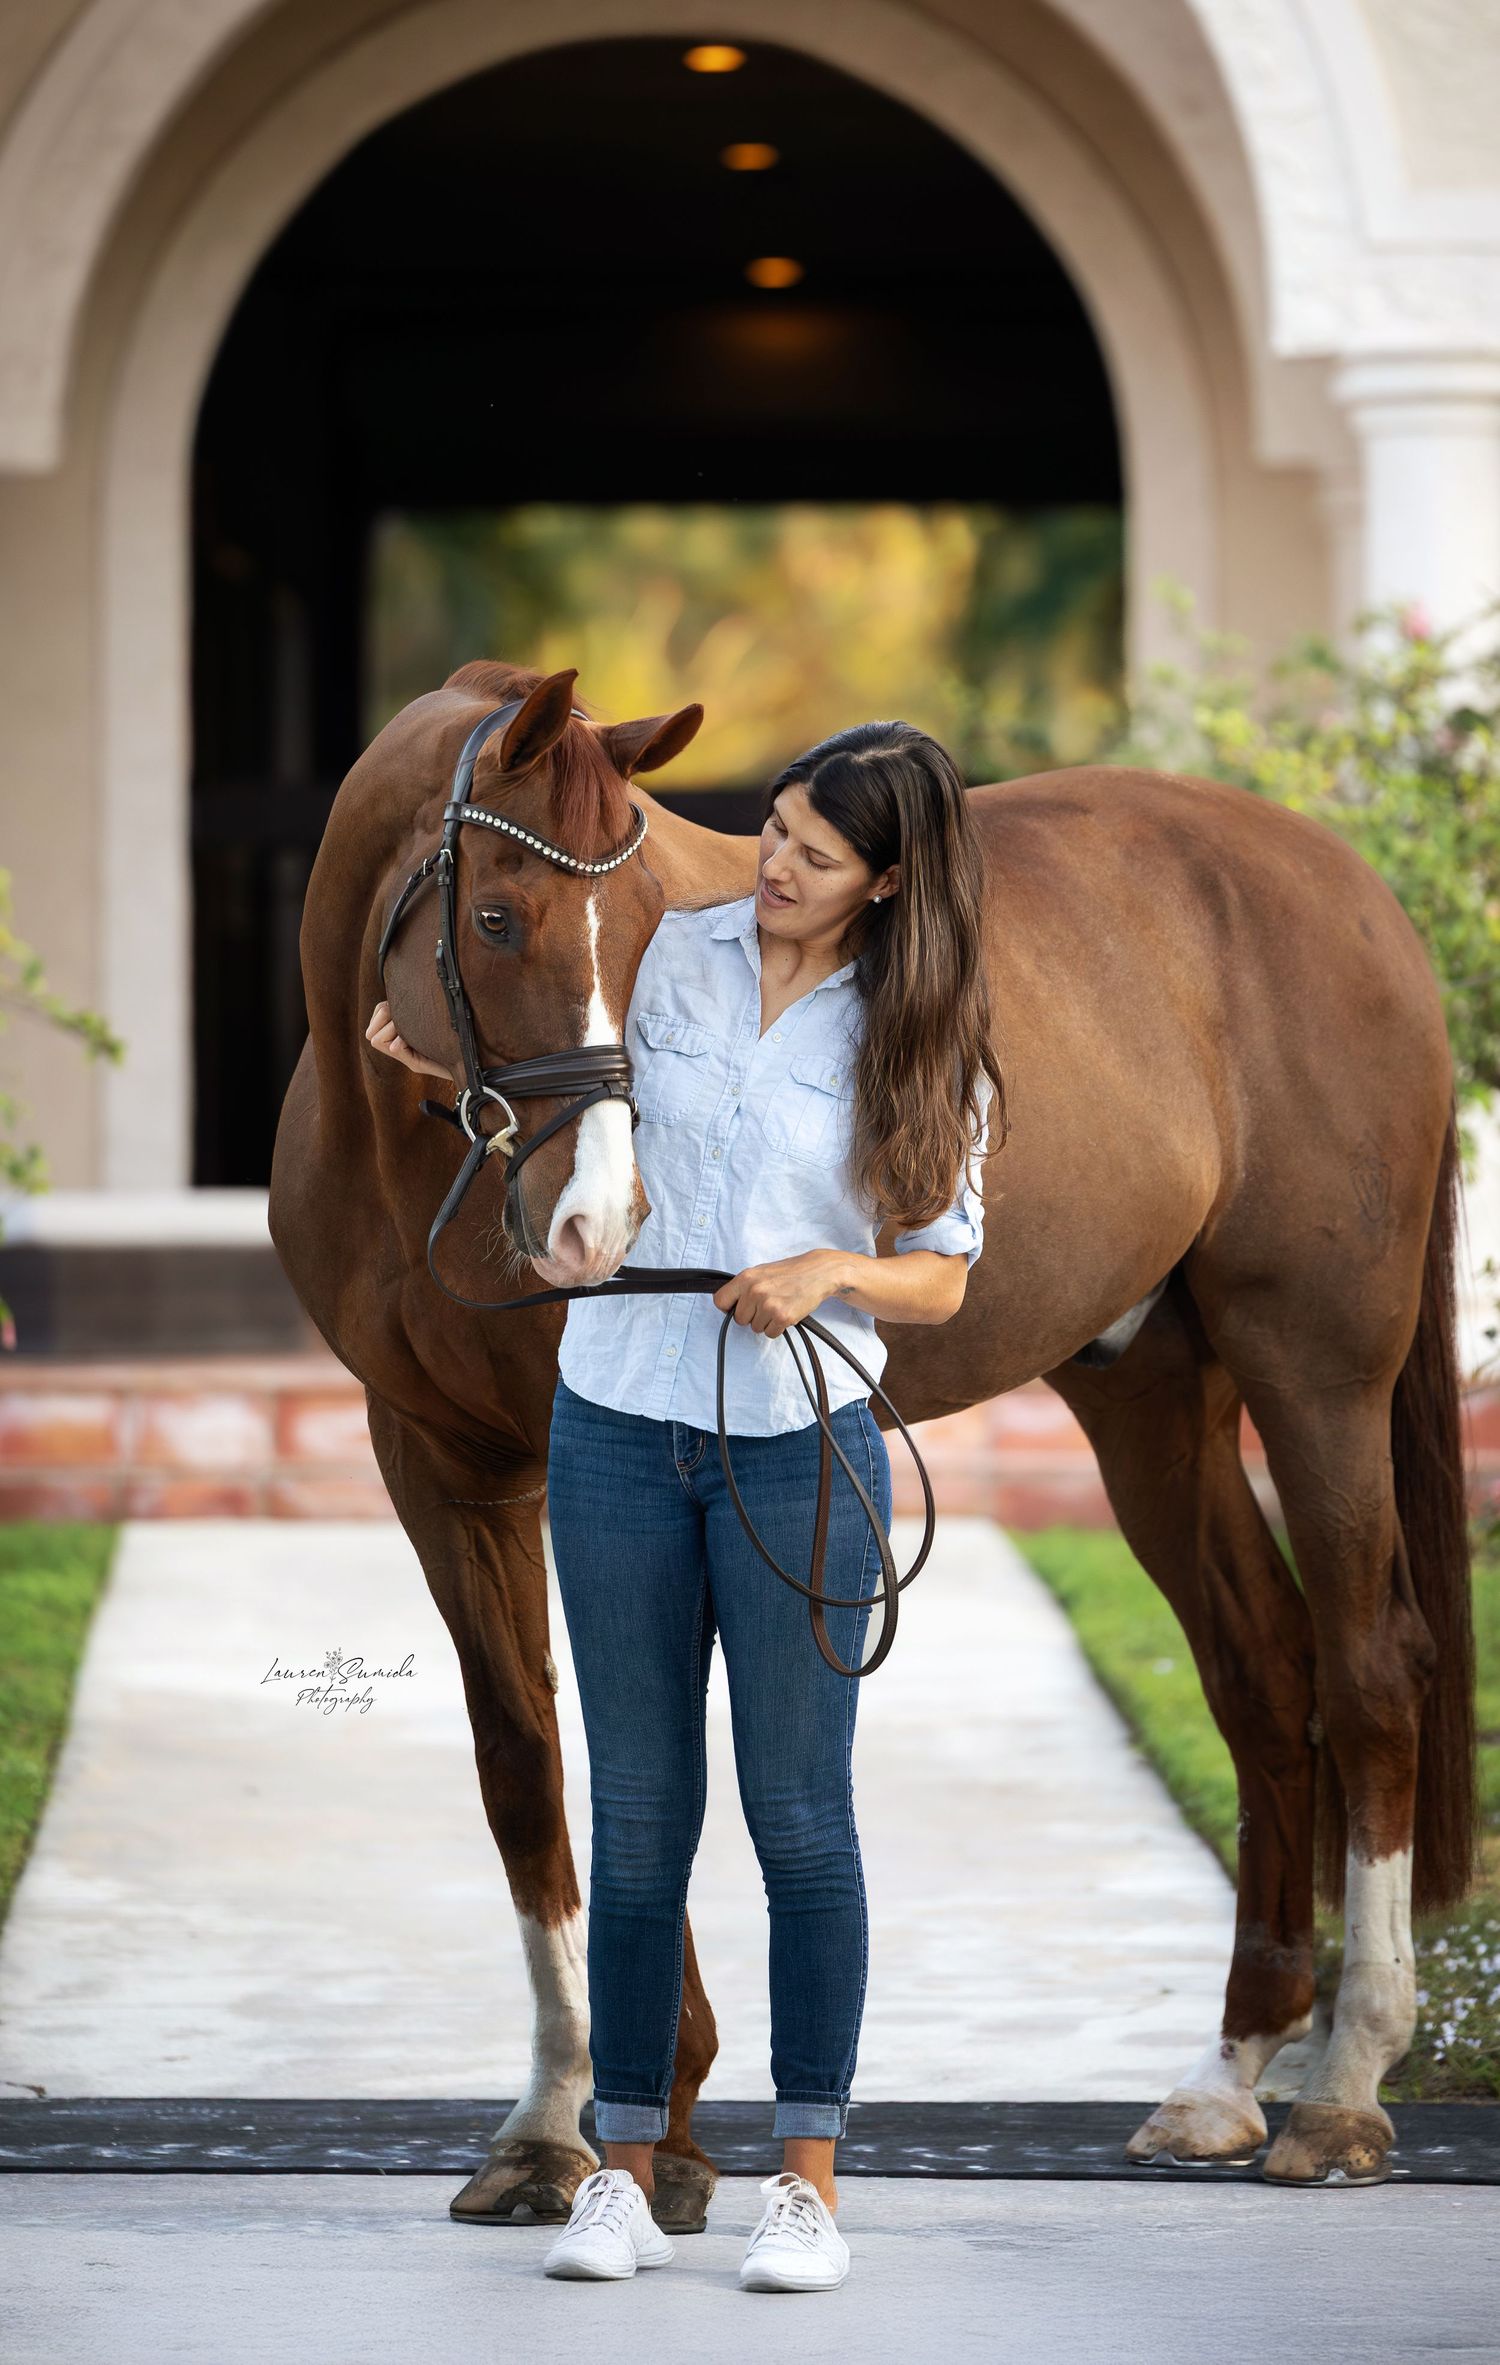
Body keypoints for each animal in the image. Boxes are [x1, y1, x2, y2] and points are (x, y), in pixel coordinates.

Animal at [269, 658, 1476, 2216]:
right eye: (492, 919)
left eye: (651, 936)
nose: (602, 1225)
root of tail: (1350, 886)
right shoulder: (434, 1464)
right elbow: (524, 1763)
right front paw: (547, 2126)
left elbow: (633, 1759)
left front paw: (657, 2120)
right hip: (1154, 1395)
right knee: (1265, 1669)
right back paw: (1227, 2078)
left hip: (1316, 1367)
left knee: (1372, 1668)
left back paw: (1342, 2089)